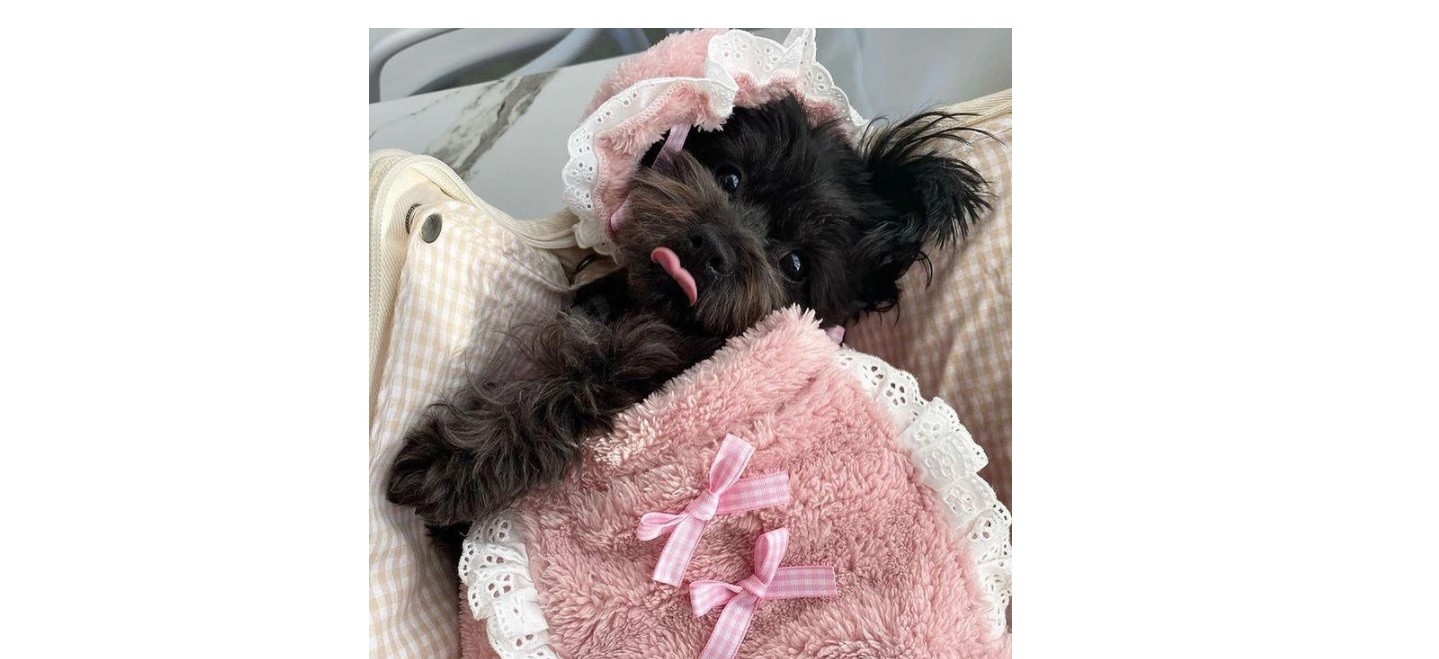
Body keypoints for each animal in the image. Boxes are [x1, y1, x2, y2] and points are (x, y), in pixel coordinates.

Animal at [385, 93, 990, 552]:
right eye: (729, 176)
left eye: (795, 265)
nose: (713, 248)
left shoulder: (641, 366)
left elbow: (567, 382)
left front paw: (452, 464)